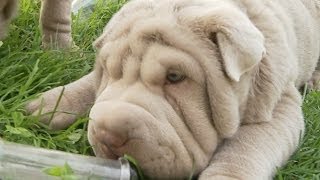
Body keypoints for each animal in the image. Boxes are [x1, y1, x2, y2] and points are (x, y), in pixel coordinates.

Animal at [25, 0, 320, 179]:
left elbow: (245, 149)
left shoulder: (278, 106)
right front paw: (47, 104)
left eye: (175, 77)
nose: (108, 134)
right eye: (109, 70)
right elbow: (89, 84)